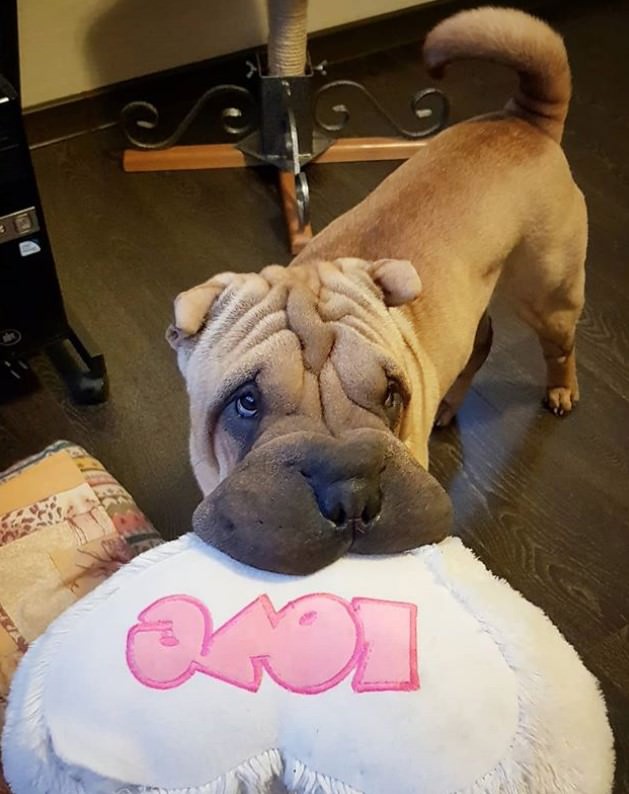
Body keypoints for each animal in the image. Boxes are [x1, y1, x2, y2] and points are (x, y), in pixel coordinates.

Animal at [167, 9, 584, 572]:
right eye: (246, 403)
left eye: (391, 395)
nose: (351, 493)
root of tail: (525, 121)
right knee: (481, 342)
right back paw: (449, 405)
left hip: (546, 291)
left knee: (559, 344)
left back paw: (561, 390)